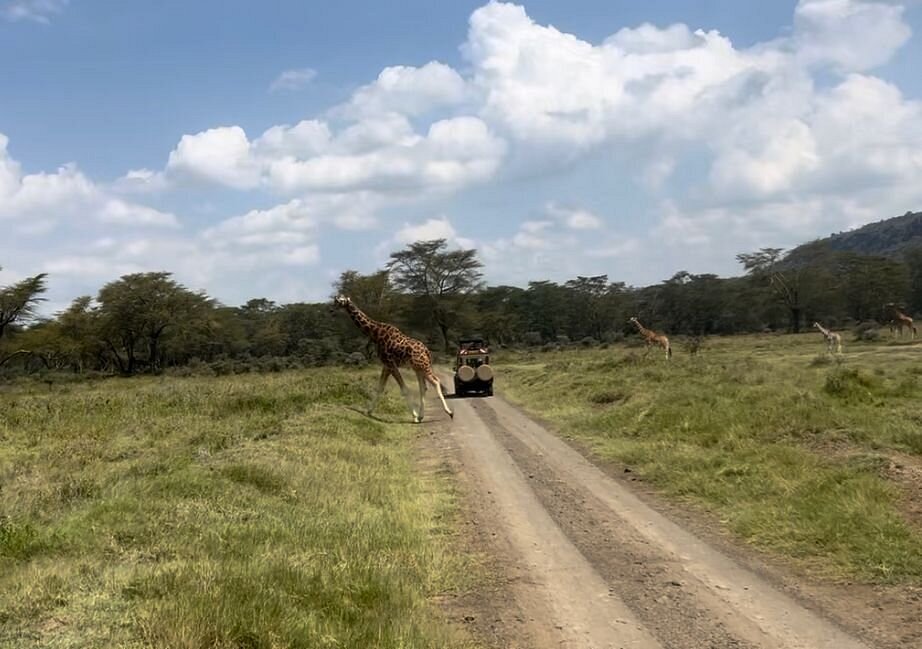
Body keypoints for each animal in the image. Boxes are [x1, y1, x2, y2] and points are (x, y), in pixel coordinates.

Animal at [332, 294, 452, 426]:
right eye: (335, 300)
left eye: (338, 301)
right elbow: (380, 388)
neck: (375, 333)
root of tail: (427, 351)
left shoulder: (390, 363)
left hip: (423, 366)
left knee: (436, 381)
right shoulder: (386, 364)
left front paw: (414, 417)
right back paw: (422, 416)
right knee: (423, 387)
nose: (331, 310)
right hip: (418, 368)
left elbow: (404, 389)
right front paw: (368, 411)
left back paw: (449, 412)